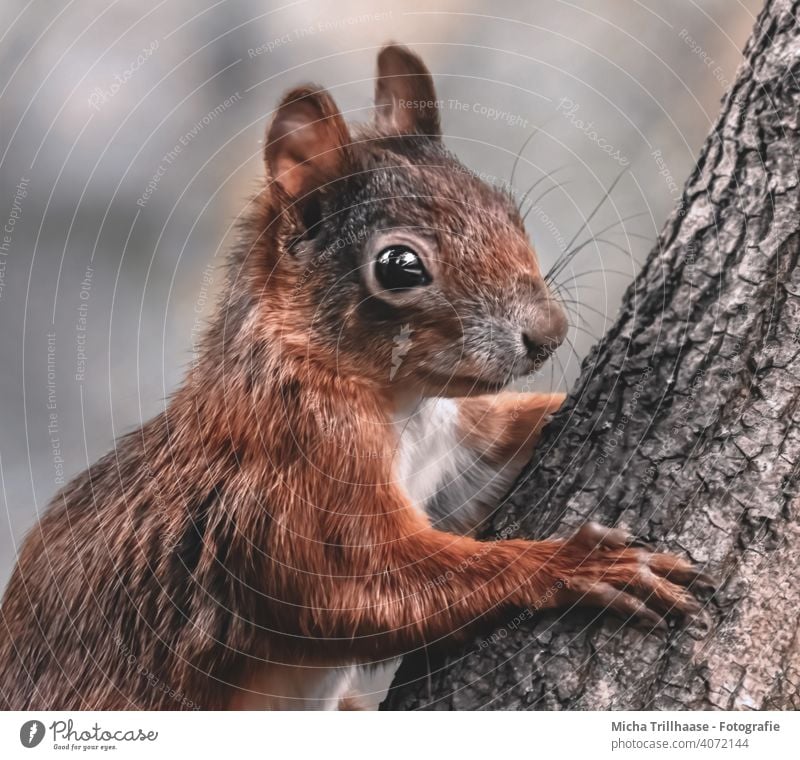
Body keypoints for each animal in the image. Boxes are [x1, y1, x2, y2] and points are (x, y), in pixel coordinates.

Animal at [0, 43, 708, 712]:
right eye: (398, 266)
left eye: (507, 207)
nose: (549, 333)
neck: (404, 404)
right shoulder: (301, 474)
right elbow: (367, 587)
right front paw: (576, 563)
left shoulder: (454, 457)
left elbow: (497, 456)